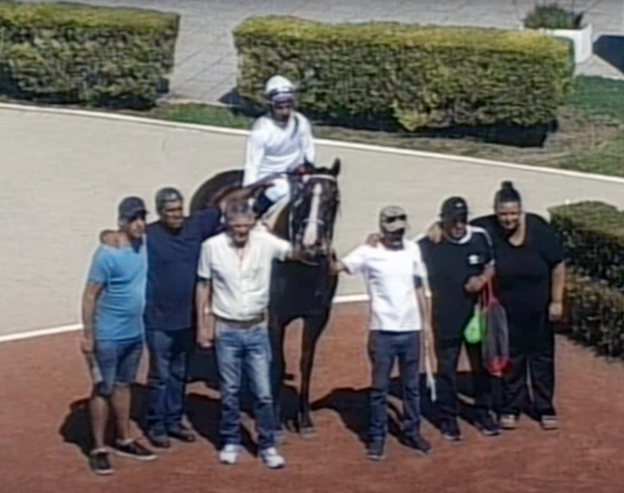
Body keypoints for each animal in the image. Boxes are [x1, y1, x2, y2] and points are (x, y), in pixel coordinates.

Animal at [190, 159, 341, 438]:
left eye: (334, 199)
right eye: (301, 198)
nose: (311, 245)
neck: (298, 266)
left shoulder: (317, 318)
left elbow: (306, 363)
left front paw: (305, 421)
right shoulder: (275, 317)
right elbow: (278, 364)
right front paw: (277, 421)